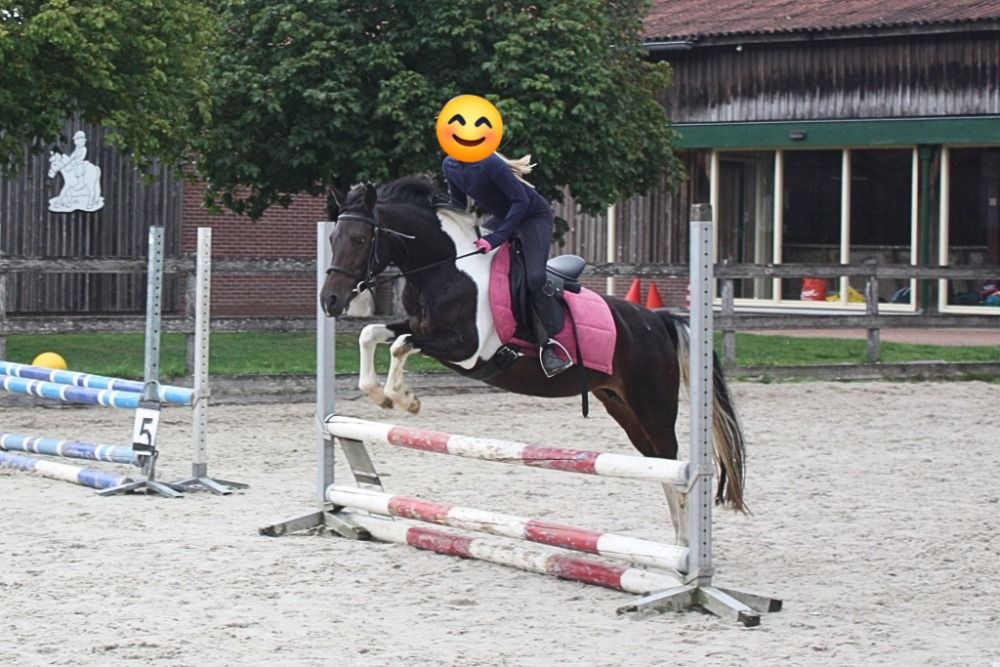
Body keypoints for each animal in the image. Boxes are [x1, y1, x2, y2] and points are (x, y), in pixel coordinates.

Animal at [319, 177, 748, 545]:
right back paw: (677, 544)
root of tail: (658, 321)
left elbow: (400, 346)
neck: (444, 269)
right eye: (332, 238)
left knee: (674, 464)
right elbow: (372, 334)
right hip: (622, 406)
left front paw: (405, 399)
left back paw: (685, 548)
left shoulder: (466, 350)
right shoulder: (418, 327)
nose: (330, 301)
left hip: (652, 405)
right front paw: (378, 394)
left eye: (360, 238)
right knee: (657, 463)